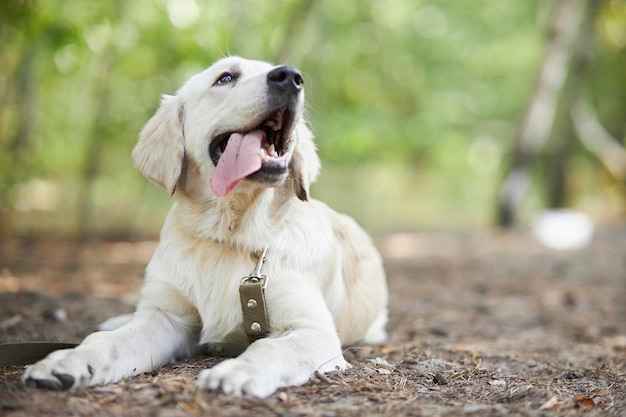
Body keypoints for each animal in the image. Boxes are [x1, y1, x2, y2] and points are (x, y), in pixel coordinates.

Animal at [20, 56, 386, 396]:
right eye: (225, 77)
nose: (291, 77)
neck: (227, 234)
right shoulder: (167, 318)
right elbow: (106, 341)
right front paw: (66, 362)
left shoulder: (313, 329)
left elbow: (271, 347)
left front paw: (237, 371)